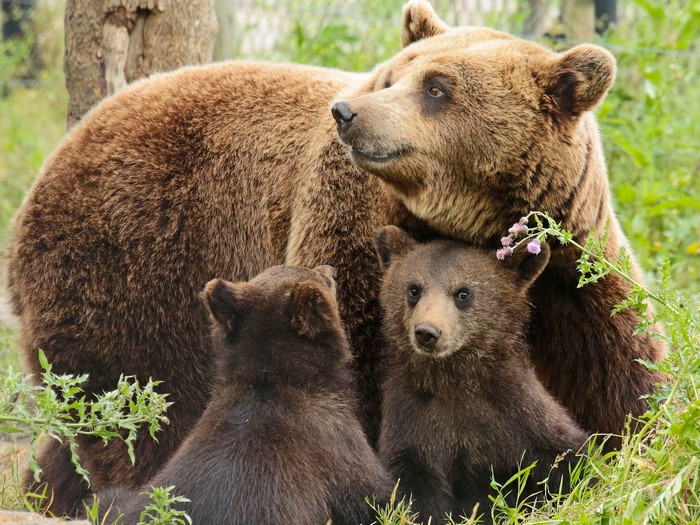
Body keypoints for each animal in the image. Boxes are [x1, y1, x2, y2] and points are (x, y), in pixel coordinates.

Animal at [375, 226, 590, 524]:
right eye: (414, 288)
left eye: (463, 293)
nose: (427, 332)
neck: (454, 381)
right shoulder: (412, 420)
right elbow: (412, 489)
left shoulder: (519, 410)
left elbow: (568, 457)